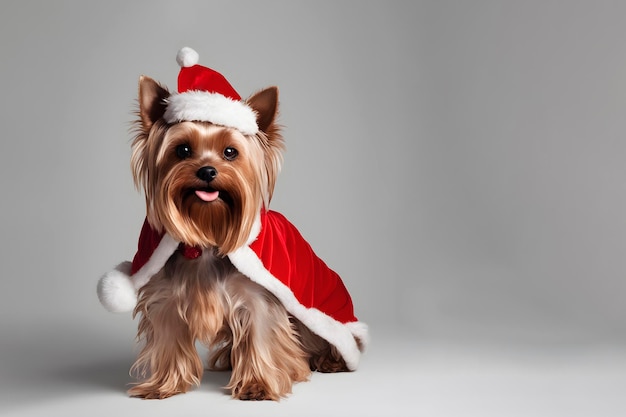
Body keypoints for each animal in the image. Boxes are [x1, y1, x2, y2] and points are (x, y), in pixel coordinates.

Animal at [97, 48, 366, 400]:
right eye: (182, 149)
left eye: (230, 152)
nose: (208, 170)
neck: (207, 235)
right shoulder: (166, 298)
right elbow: (169, 340)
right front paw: (163, 385)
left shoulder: (258, 300)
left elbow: (262, 337)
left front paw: (258, 385)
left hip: (321, 314)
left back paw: (325, 361)